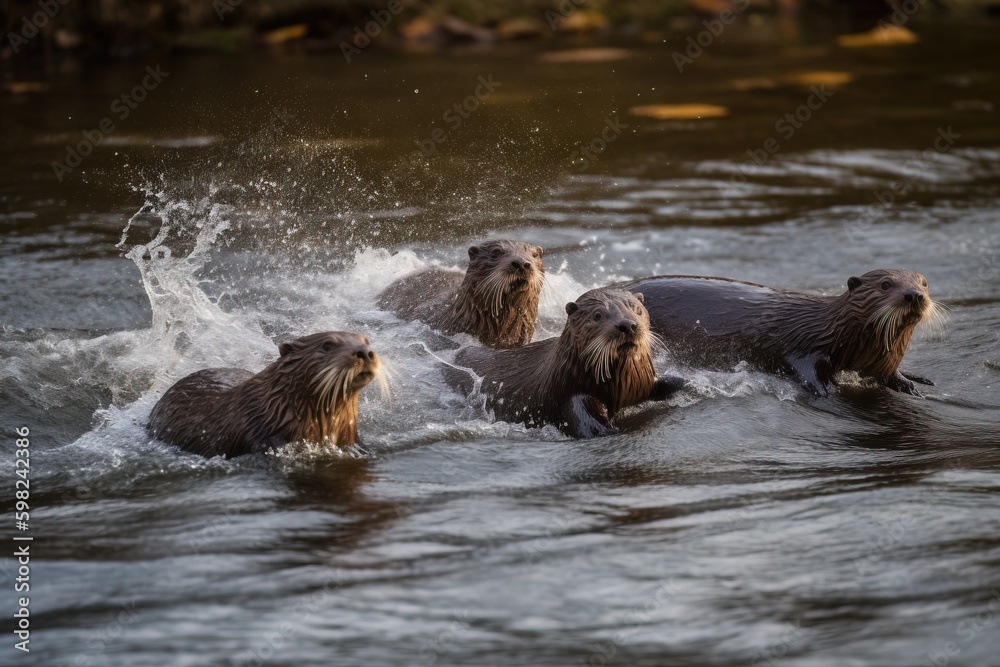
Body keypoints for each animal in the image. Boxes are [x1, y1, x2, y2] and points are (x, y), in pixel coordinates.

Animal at [446, 288, 688, 438]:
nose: (627, 325)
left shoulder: (645, 382)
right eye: (598, 315)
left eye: (637, 309)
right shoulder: (572, 398)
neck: (621, 388)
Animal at [616, 270, 944, 396]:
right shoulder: (805, 349)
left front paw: (913, 384)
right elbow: (806, 369)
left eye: (924, 282)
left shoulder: (883, 361)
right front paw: (827, 389)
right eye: (886, 285)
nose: (914, 295)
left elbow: (890, 376)